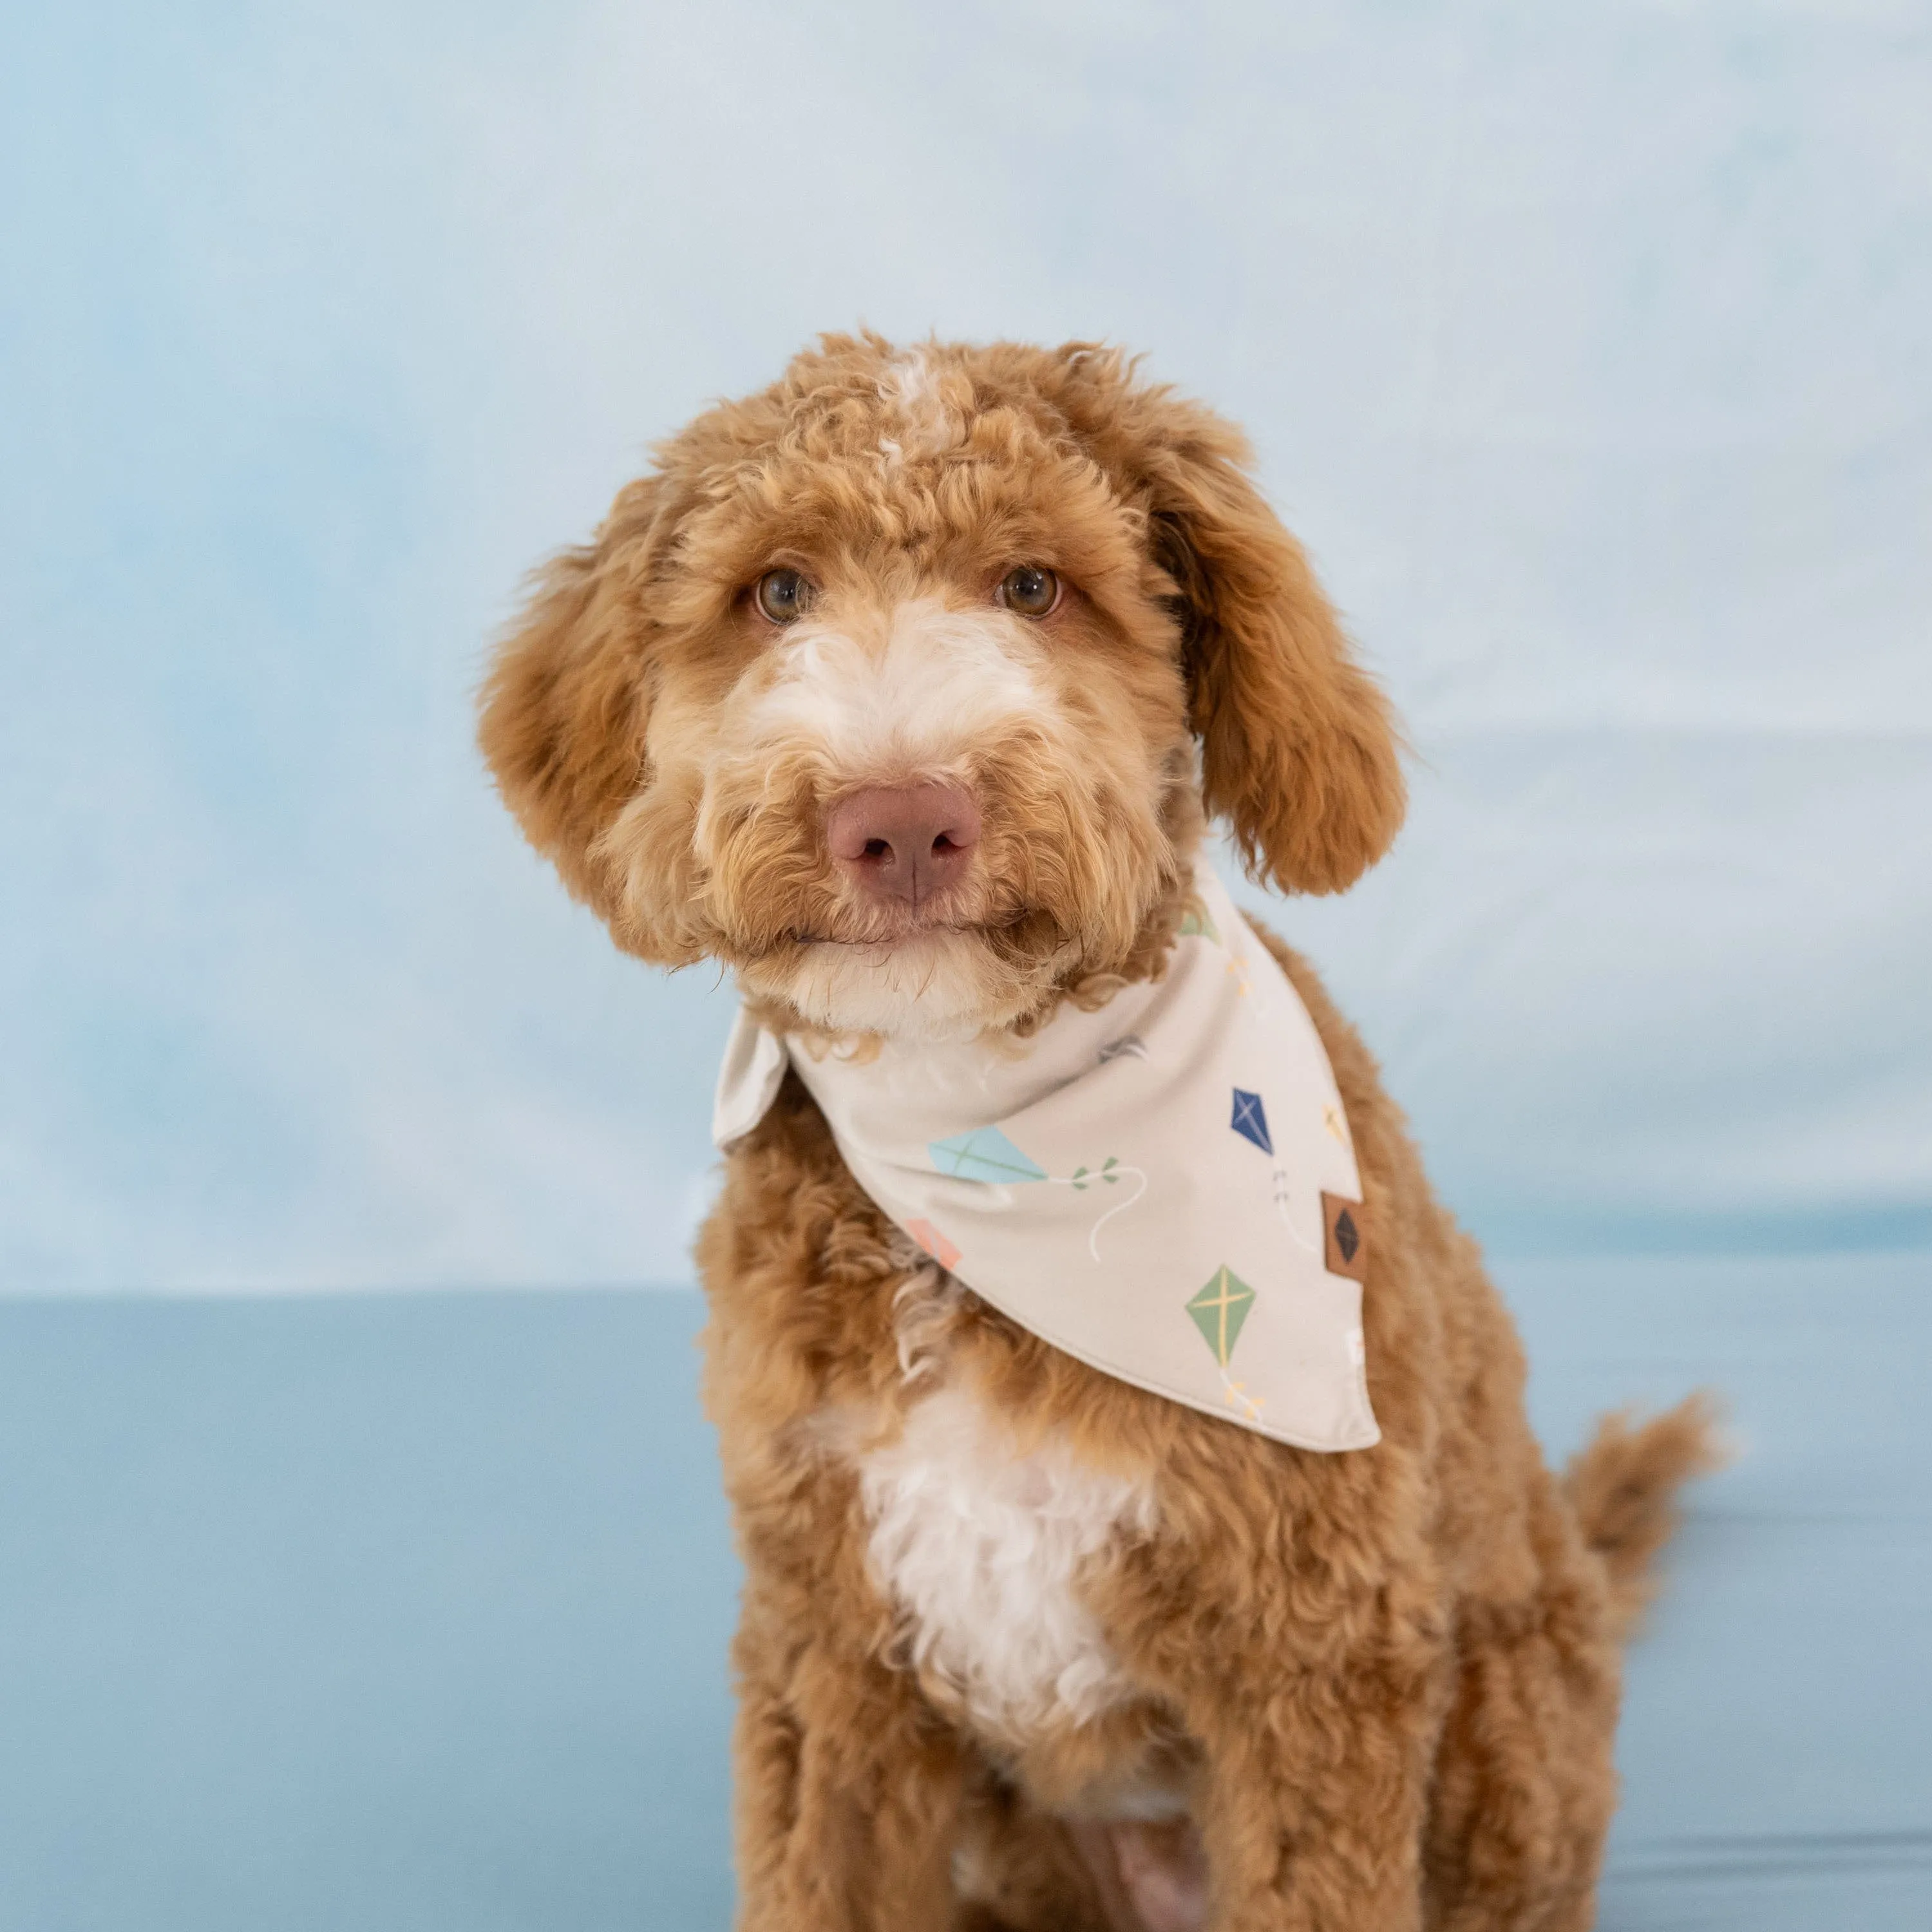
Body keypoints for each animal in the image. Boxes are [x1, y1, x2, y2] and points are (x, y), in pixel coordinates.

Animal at [475, 336, 1716, 1932]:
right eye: (777, 591)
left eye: (1034, 584)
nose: (901, 818)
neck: (987, 1155)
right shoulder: (829, 1656)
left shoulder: (1314, 1661)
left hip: (1504, 1739)